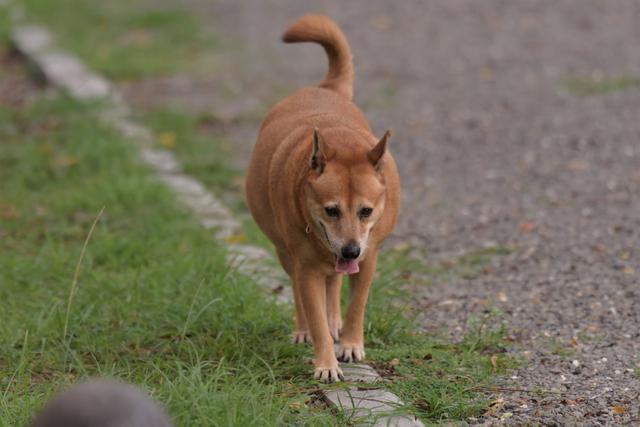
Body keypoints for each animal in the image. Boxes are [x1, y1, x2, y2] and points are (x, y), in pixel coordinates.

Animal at [245, 14, 400, 384]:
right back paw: (306, 329)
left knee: (335, 284)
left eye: (366, 210)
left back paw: (335, 322)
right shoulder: (306, 266)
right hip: (285, 250)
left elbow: (356, 303)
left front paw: (351, 345)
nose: (350, 250)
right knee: (302, 290)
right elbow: (311, 306)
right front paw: (326, 363)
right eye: (331, 210)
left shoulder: (368, 257)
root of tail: (325, 88)